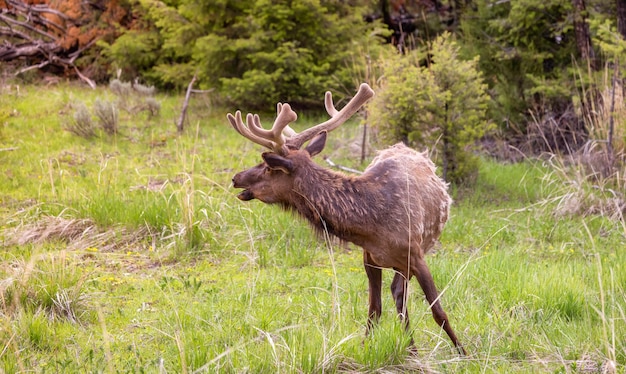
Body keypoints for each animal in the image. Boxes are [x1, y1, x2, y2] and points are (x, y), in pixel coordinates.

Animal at [228, 83, 464, 356]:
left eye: (268, 167)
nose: (236, 177)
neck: (373, 226)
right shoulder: (369, 258)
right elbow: (374, 310)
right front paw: (364, 348)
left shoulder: (416, 254)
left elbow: (439, 312)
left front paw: (464, 353)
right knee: (398, 295)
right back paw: (411, 348)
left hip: (414, 254)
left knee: (401, 294)